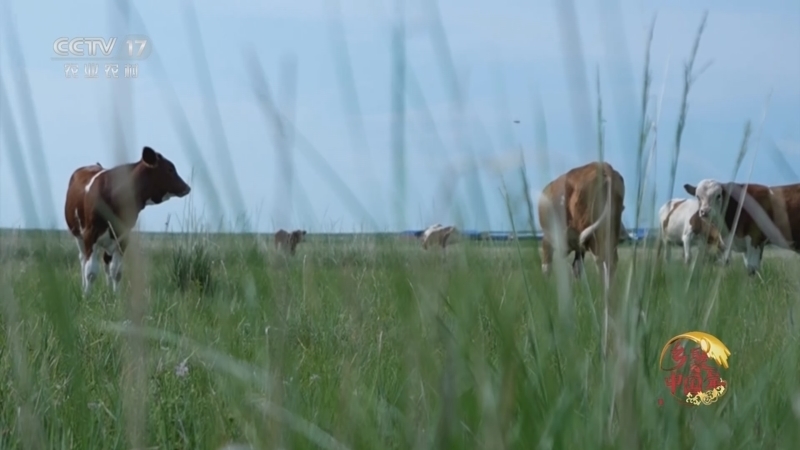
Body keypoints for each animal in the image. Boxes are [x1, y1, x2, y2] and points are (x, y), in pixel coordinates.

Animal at [64, 146, 192, 298]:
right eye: (170, 169)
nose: (187, 187)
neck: (115, 194)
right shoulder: (90, 233)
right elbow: (90, 272)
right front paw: (87, 297)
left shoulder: (123, 235)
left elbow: (117, 271)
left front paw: (115, 297)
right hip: (80, 237)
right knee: (83, 261)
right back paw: (84, 288)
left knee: (106, 263)